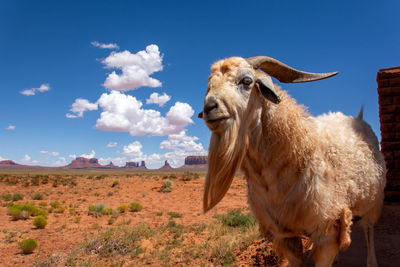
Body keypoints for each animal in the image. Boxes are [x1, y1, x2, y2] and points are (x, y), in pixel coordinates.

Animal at [200, 55, 388, 266]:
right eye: (210, 84)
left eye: (247, 81)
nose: (209, 108)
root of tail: (359, 119)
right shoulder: (285, 234)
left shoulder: (328, 231)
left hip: (374, 200)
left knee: (369, 229)